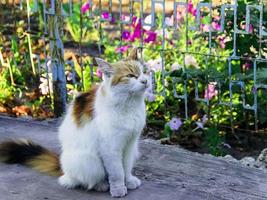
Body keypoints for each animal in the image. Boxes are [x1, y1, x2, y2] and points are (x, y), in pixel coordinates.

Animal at [0, 47, 149, 198]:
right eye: (131, 75)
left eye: (143, 72)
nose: (145, 81)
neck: (130, 104)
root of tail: (63, 168)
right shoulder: (110, 148)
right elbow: (117, 172)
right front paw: (118, 188)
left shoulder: (130, 144)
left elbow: (126, 167)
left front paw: (128, 181)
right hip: (90, 162)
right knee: (83, 180)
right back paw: (101, 185)